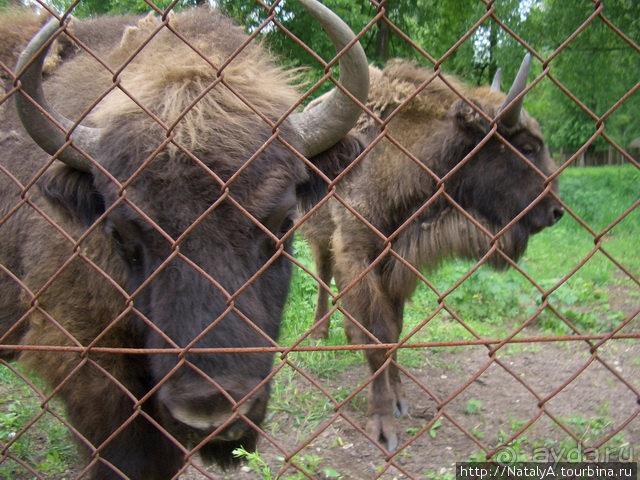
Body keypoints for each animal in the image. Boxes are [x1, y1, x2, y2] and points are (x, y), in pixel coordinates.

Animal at [298, 54, 564, 452]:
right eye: (528, 147)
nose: (555, 211)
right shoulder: (358, 252)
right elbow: (377, 334)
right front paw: (383, 424)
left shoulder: (396, 264)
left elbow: (393, 329)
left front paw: (399, 398)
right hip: (318, 238)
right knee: (322, 276)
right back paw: (319, 334)